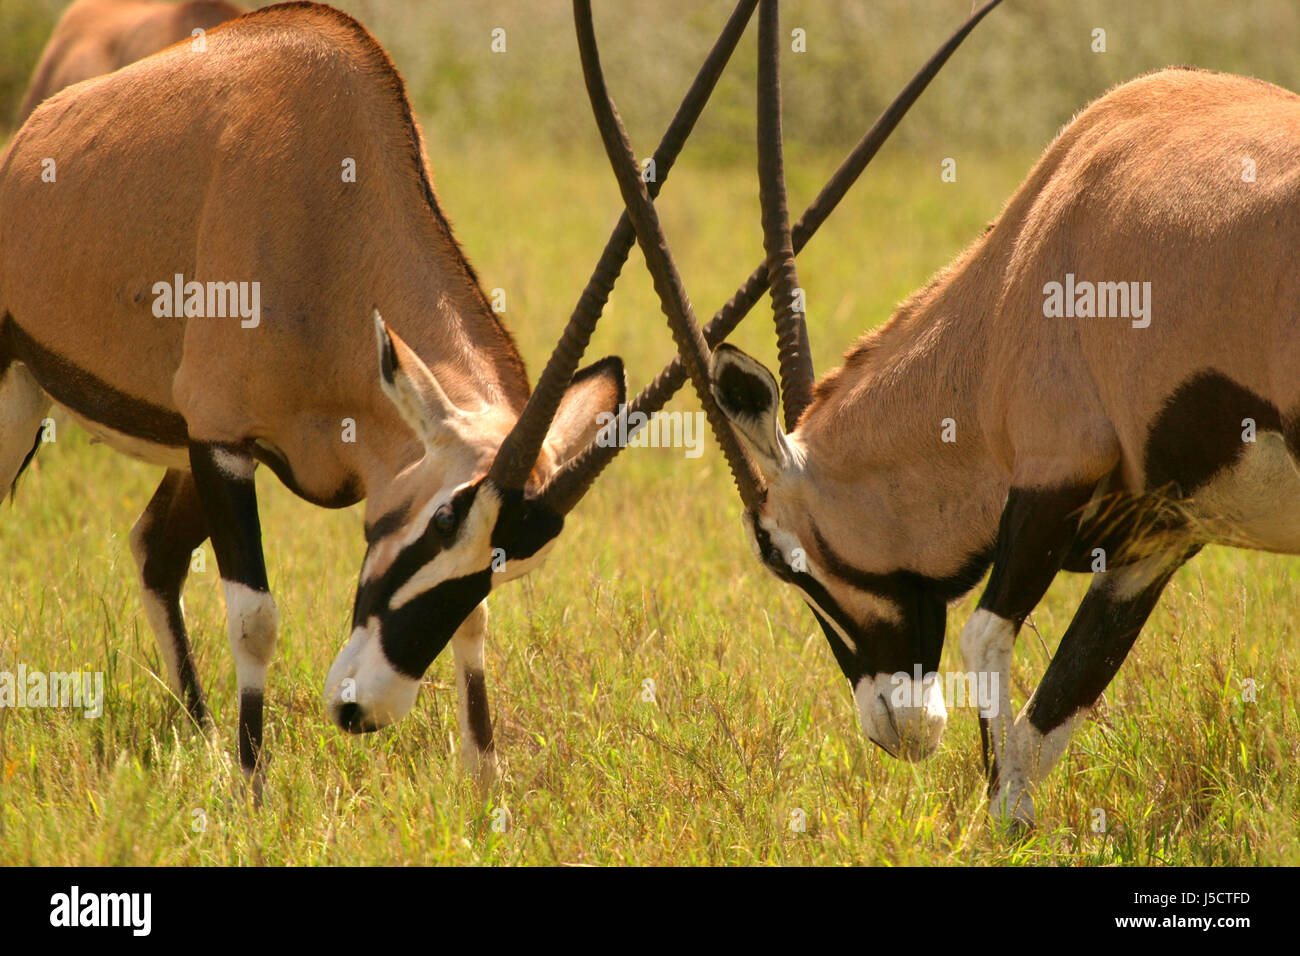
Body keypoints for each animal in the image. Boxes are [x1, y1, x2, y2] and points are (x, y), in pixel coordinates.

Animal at [582, 0, 1300, 827]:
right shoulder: (1157, 537)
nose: (896, 729)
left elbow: (990, 648)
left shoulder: (1053, 473)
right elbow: (1063, 700)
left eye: (781, 556)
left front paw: (1004, 827)